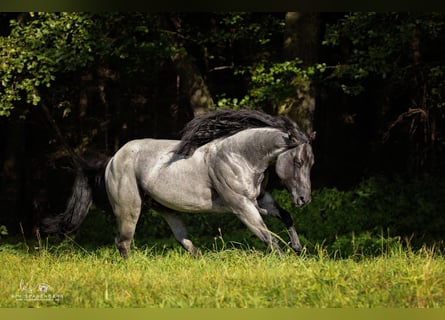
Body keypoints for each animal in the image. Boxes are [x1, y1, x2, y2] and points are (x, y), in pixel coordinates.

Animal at [40, 110, 312, 258]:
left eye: (311, 162)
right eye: (298, 161)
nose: (304, 199)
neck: (239, 155)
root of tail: (112, 160)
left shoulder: (260, 199)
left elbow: (285, 217)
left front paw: (298, 249)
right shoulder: (242, 207)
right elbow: (268, 237)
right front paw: (286, 260)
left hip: (166, 209)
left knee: (183, 239)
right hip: (129, 209)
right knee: (123, 241)